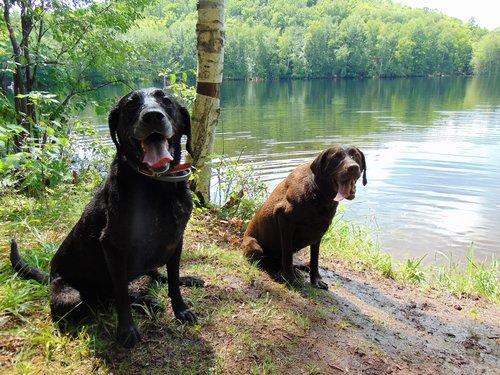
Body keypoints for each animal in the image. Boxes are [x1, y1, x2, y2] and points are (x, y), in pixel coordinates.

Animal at [10, 88, 198, 350]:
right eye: (130, 104)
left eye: (167, 101)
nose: (152, 116)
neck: (155, 185)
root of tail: (49, 278)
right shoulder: (113, 247)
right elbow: (121, 295)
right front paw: (127, 330)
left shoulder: (175, 239)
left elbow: (172, 279)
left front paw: (181, 309)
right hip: (72, 297)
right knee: (107, 297)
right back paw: (141, 300)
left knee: (152, 277)